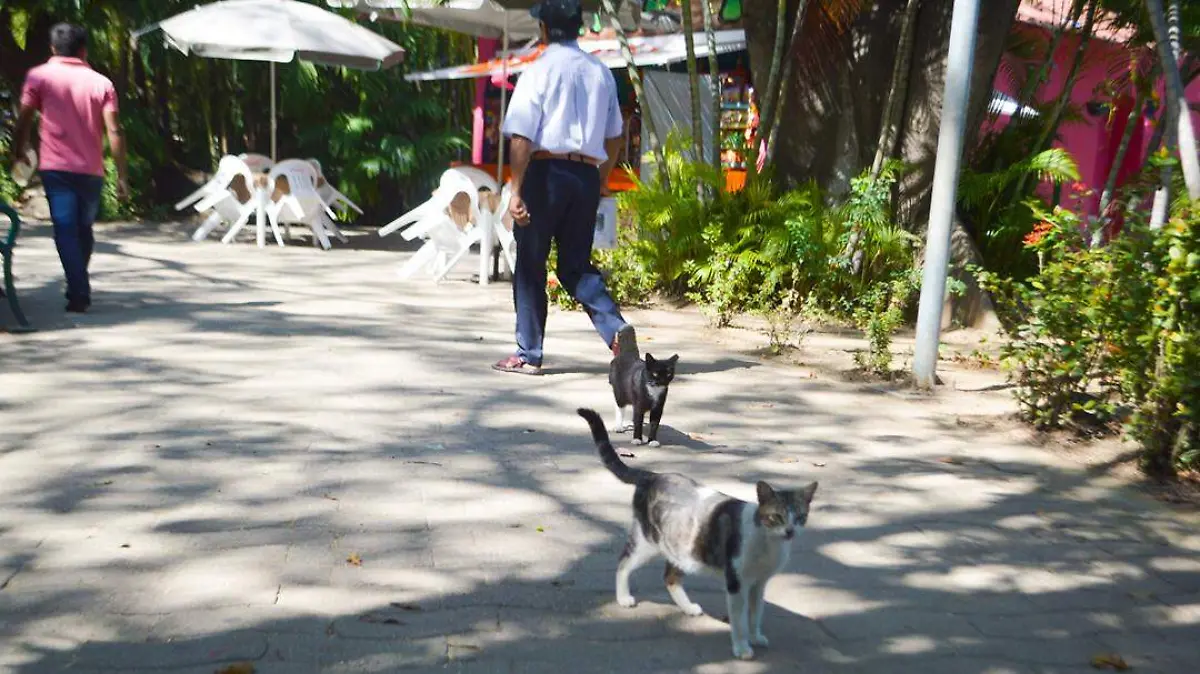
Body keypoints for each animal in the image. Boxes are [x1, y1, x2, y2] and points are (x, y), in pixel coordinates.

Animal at [578, 407, 820, 657]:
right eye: (777, 517)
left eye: (800, 517)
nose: (790, 531)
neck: (768, 543)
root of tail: (651, 475)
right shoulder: (736, 581)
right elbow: (739, 618)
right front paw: (742, 646)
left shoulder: (759, 583)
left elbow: (756, 614)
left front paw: (756, 636)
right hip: (649, 541)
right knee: (624, 562)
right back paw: (624, 597)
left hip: (682, 548)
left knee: (670, 577)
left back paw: (688, 607)